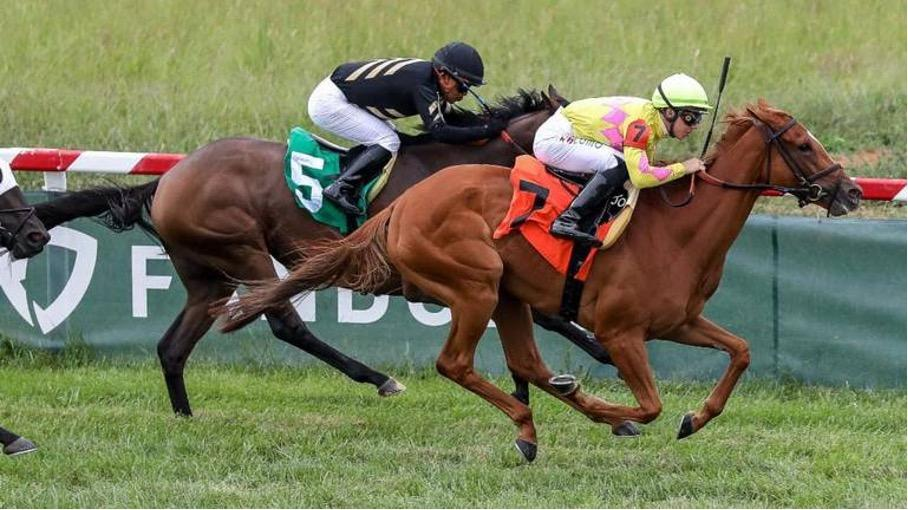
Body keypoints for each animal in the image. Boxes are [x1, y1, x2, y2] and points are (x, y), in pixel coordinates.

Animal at [33, 88, 611, 417]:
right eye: (582, 137)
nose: (617, 187)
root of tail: (168, 179)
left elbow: (538, 314)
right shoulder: (433, 276)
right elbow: (543, 314)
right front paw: (591, 361)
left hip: (207, 274)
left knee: (172, 347)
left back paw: (185, 417)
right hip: (244, 251)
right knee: (283, 322)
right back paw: (379, 380)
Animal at [218, 100, 863, 462]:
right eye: (801, 143)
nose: (852, 191)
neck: (680, 230)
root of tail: (399, 205)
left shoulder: (679, 321)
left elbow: (742, 350)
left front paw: (695, 418)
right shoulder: (622, 331)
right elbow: (650, 403)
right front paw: (620, 413)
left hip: (508, 296)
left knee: (525, 364)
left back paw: (539, 421)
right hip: (475, 285)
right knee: (456, 364)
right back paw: (539, 419)